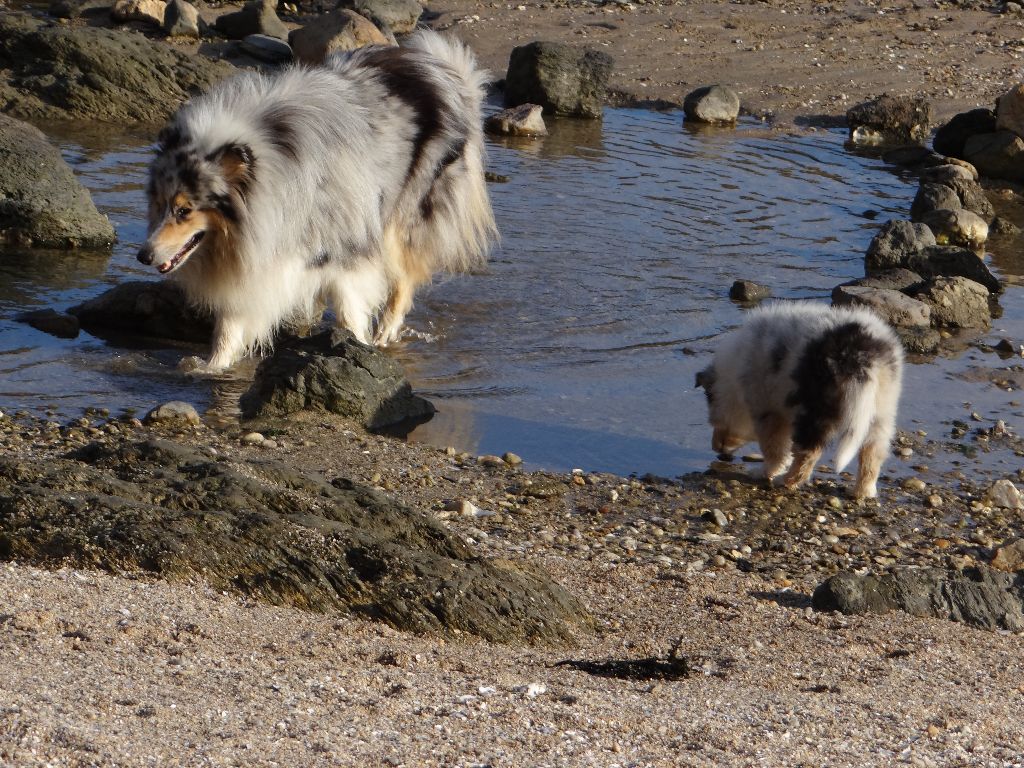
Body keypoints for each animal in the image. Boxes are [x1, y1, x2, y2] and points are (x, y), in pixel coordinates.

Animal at [137, 32, 497, 371]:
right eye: (158, 203)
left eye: (184, 210)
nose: (143, 255)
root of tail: (440, 66)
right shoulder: (260, 259)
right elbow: (231, 324)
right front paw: (210, 368)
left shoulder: (346, 249)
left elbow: (350, 310)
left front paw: (359, 346)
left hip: (401, 216)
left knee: (404, 279)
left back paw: (384, 335)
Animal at [696, 302, 903, 499]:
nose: (716, 449)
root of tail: (862, 353)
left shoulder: (768, 411)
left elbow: (774, 448)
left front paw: (766, 472)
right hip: (881, 409)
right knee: (873, 451)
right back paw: (863, 491)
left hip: (814, 409)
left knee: (808, 453)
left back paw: (785, 480)